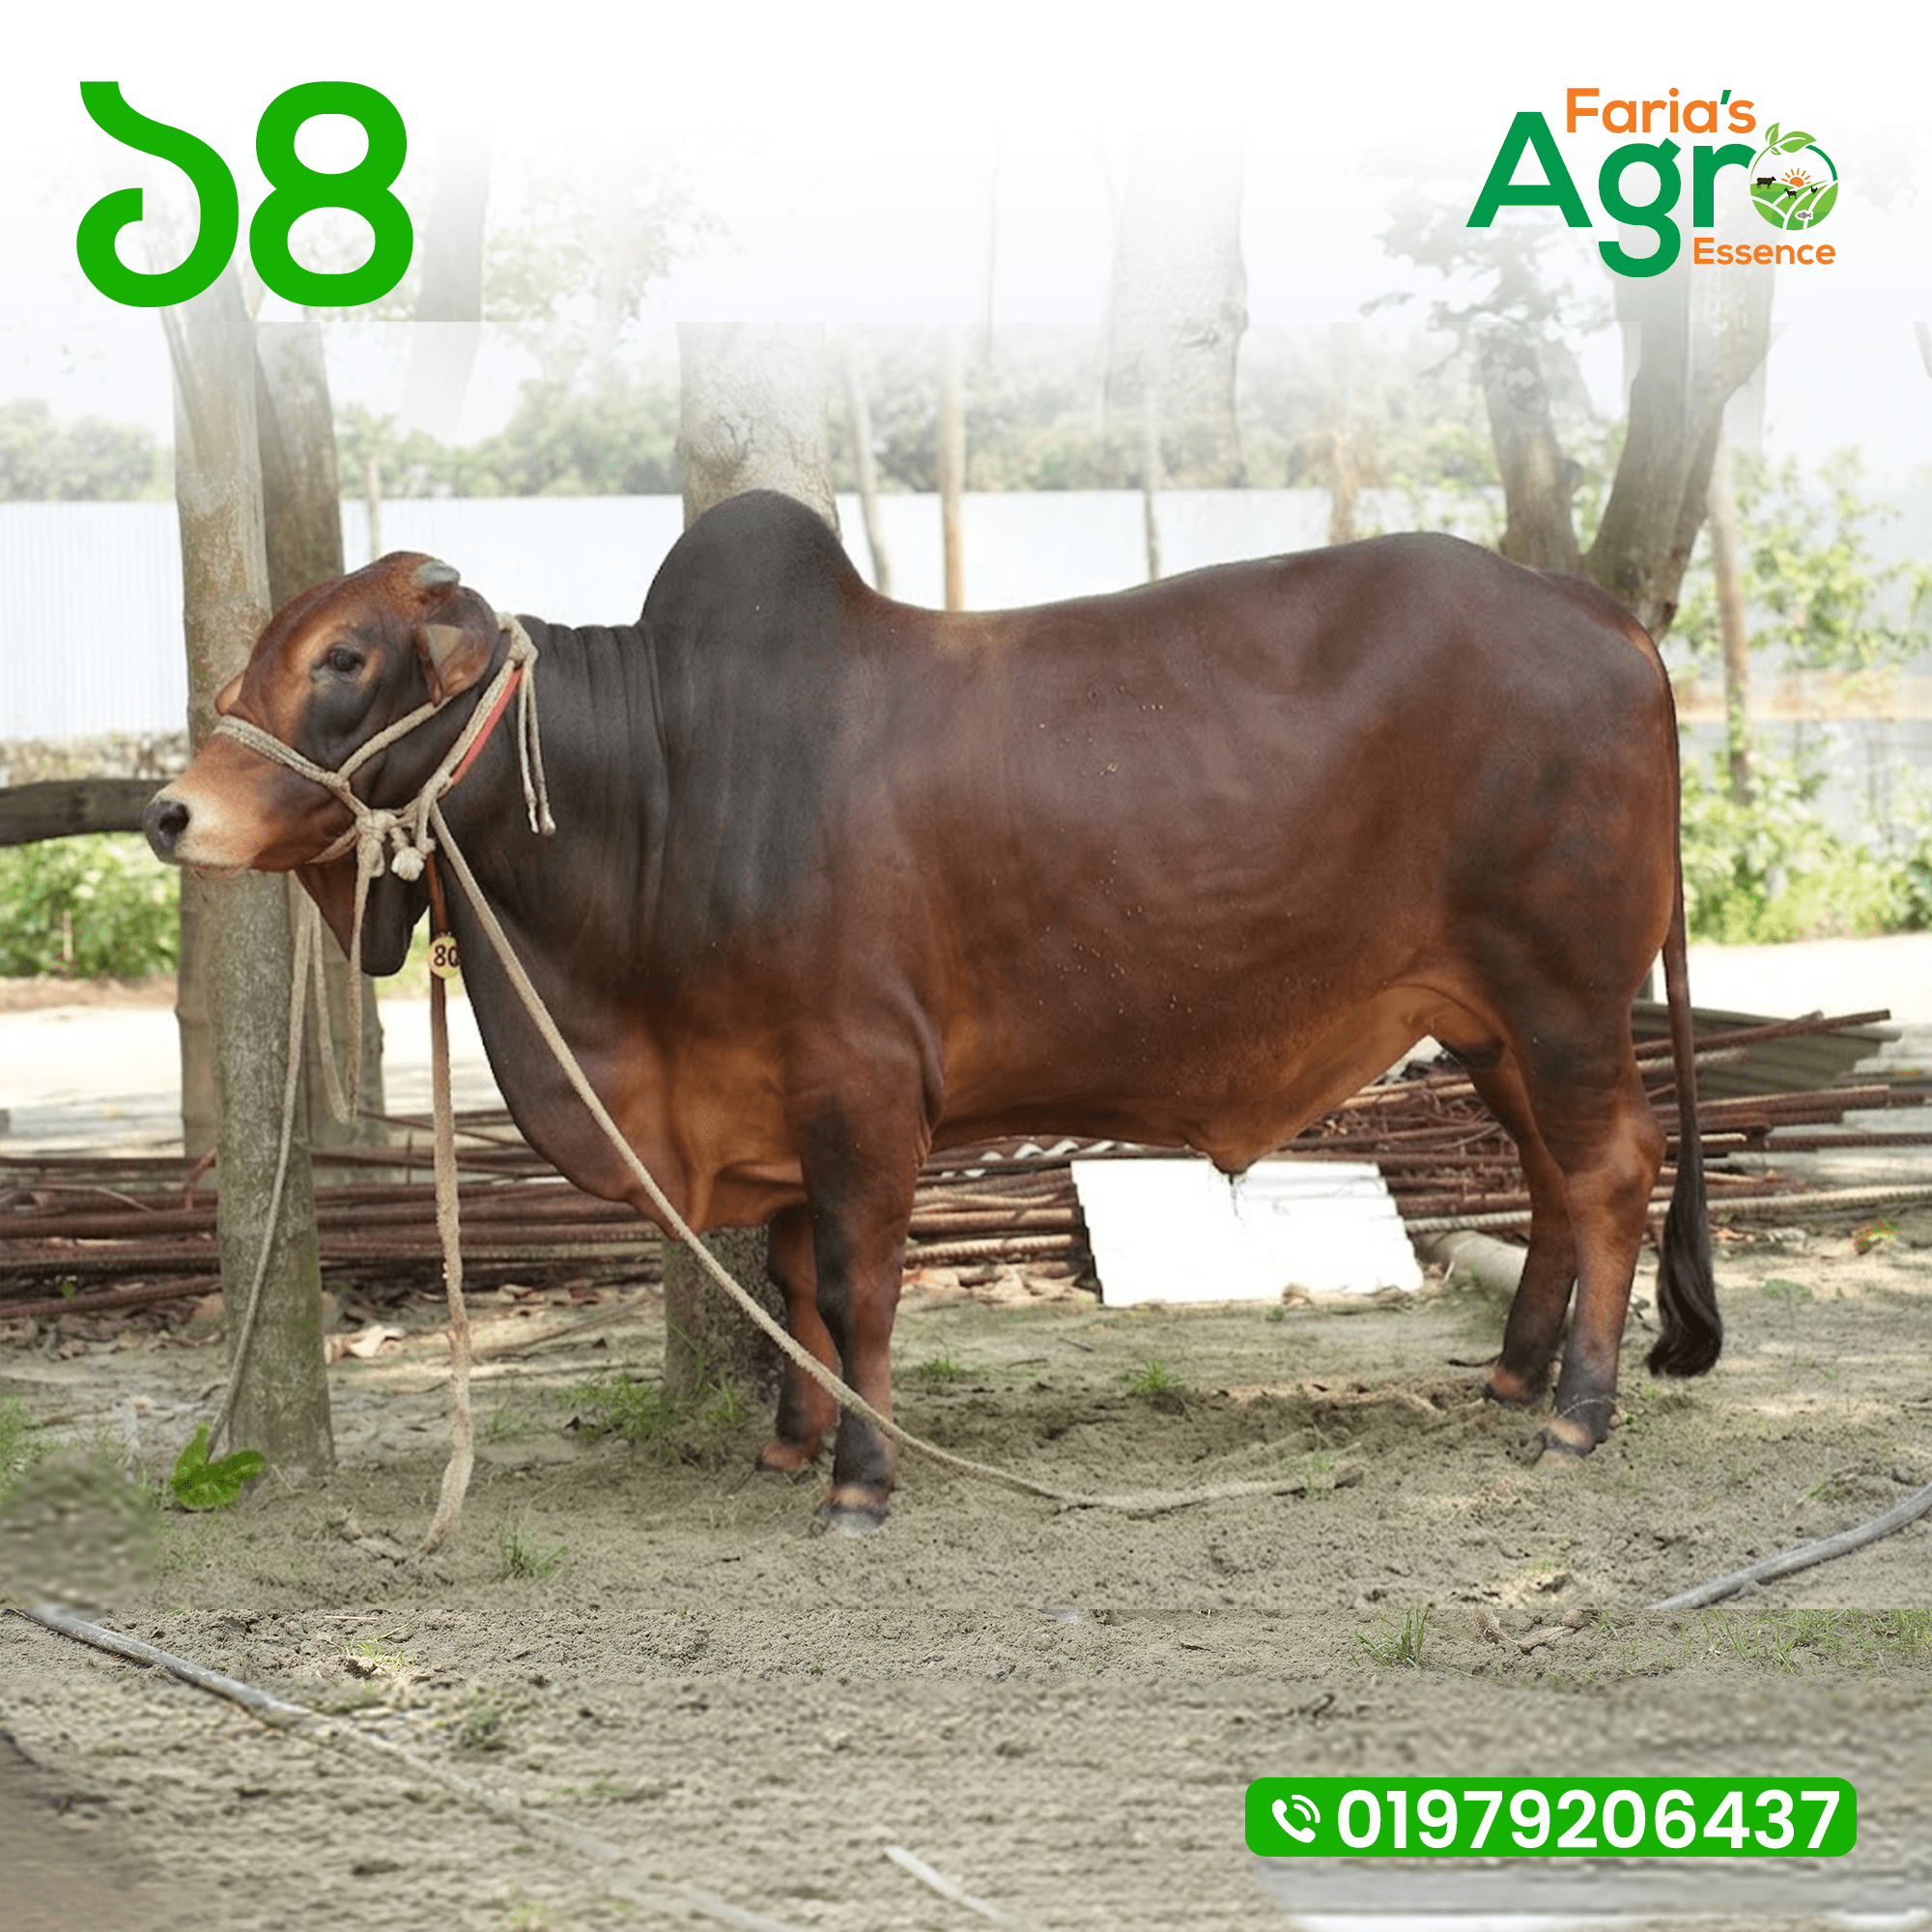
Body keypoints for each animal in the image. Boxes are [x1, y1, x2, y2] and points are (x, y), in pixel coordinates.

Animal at [144, 488, 1720, 1530]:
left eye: (343, 659)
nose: (171, 811)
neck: (663, 777)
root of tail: (1611, 624)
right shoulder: (772, 1096)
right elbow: (792, 1284)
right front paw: (790, 1446)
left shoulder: (858, 1087)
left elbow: (856, 1286)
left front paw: (861, 1481)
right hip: (1485, 1014)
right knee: (1548, 1178)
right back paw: (1512, 1376)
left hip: (1563, 989)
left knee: (1608, 1170)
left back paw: (1579, 1414)